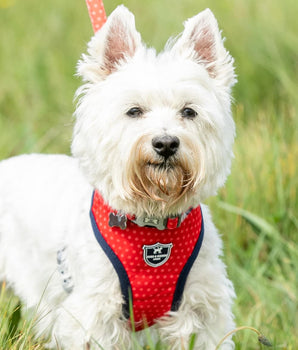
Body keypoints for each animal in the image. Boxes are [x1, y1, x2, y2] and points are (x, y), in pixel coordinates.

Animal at [1, 6, 236, 350]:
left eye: (189, 111)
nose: (166, 143)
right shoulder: (93, 315)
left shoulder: (201, 309)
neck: (152, 224)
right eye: (134, 111)